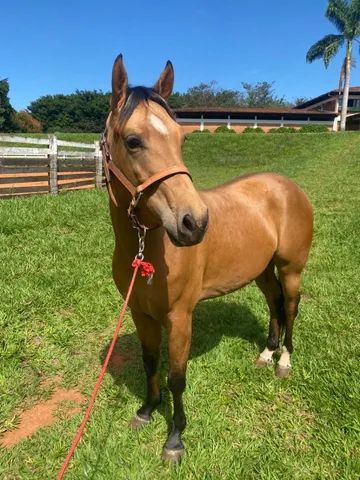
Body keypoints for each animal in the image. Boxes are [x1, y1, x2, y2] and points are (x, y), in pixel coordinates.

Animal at [102, 53, 312, 462]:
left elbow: (177, 377)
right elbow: (150, 363)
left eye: (181, 138)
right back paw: (266, 354)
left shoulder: (181, 318)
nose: (195, 223)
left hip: (291, 269)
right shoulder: (140, 314)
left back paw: (284, 361)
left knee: (291, 308)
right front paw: (146, 410)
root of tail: (288, 187)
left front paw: (174, 438)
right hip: (262, 272)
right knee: (275, 304)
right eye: (133, 141)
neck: (148, 247)